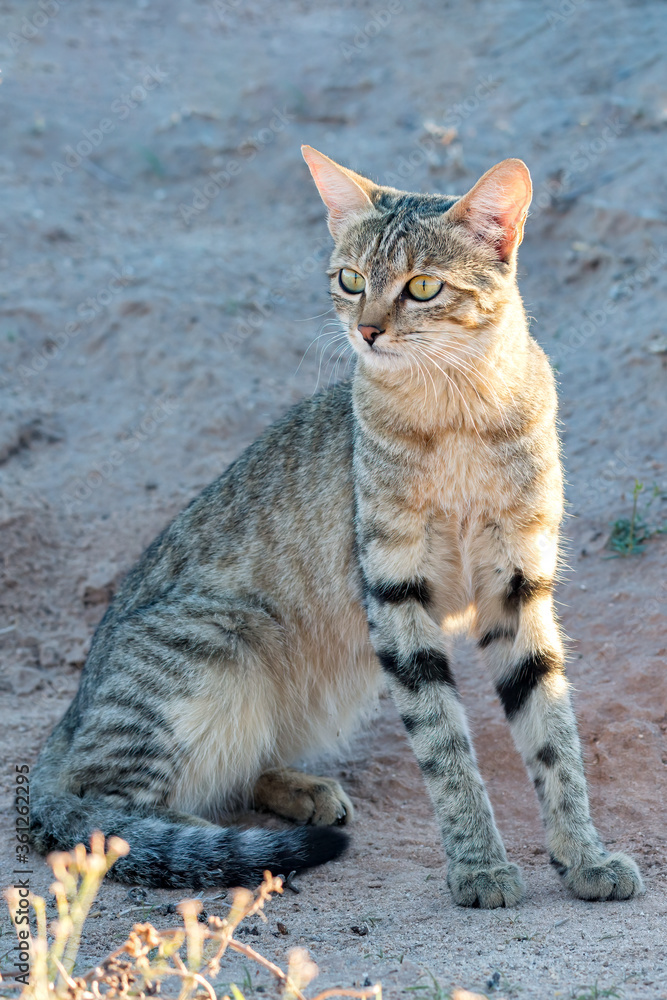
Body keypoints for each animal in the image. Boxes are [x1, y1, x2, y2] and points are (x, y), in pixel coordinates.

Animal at [28, 146, 644, 908]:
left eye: (421, 287)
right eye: (351, 280)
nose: (367, 331)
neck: (458, 411)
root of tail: (69, 713)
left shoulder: (516, 582)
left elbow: (554, 734)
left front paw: (582, 854)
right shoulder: (395, 588)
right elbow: (444, 745)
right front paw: (479, 865)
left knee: (230, 769)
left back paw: (300, 790)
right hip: (216, 649)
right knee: (100, 816)